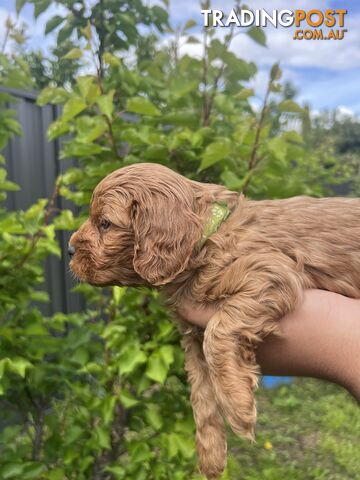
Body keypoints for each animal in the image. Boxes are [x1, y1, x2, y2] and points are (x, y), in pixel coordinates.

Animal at [69, 163, 360, 478]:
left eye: (105, 223)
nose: (70, 250)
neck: (208, 237)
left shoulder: (270, 273)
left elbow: (218, 334)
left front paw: (238, 404)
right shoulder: (191, 337)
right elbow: (201, 395)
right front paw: (211, 454)